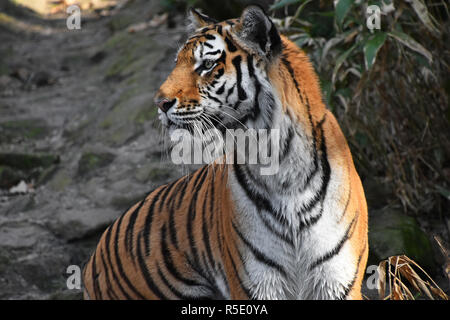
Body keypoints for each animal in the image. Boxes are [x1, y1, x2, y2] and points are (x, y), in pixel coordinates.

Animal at [82, 5, 368, 300]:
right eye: (177, 62)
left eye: (207, 65)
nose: (159, 103)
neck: (280, 164)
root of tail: (92, 259)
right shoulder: (255, 284)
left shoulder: (337, 281)